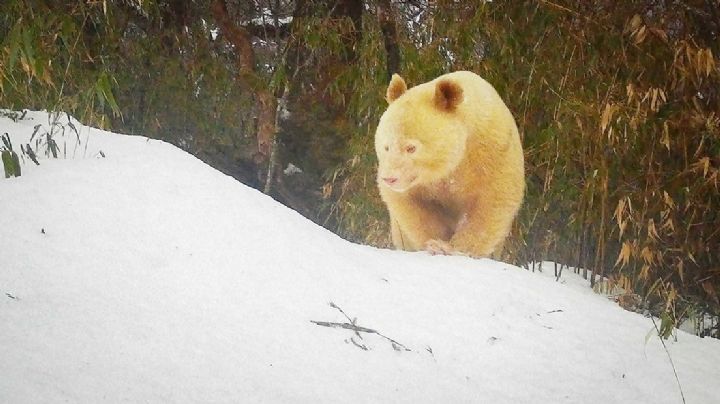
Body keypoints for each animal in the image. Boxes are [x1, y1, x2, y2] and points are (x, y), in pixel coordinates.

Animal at [375, 71, 524, 258]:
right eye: (386, 146)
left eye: (411, 148)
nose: (389, 178)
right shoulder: (418, 187)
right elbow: (413, 209)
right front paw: (435, 244)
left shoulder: (492, 153)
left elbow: (492, 203)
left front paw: (451, 248)